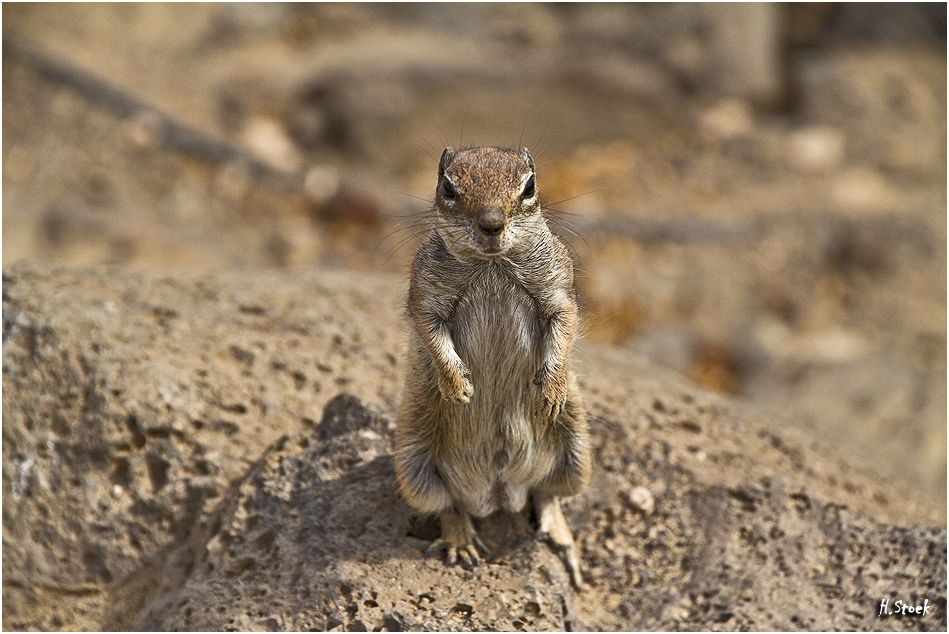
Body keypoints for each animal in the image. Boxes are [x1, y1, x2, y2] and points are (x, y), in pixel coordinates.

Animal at [390, 146, 584, 584]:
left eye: (529, 186)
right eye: (448, 187)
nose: (491, 224)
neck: (492, 265)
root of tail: (498, 493)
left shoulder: (557, 290)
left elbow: (564, 325)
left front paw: (550, 390)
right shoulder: (425, 296)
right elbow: (432, 336)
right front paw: (457, 386)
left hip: (577, 450)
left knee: (547, 494)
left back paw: (561, 537)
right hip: (413, 467)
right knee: (448, 505)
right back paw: (461, 541)